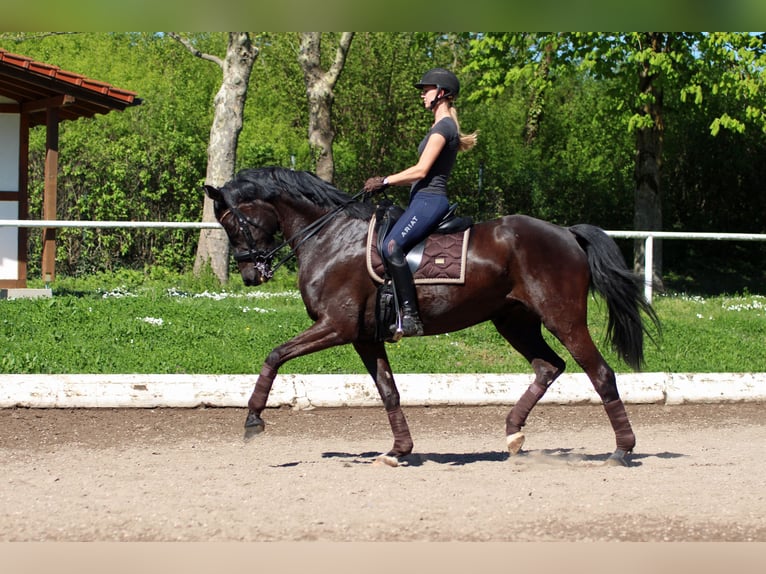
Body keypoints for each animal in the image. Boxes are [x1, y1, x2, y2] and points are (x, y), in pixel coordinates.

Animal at [205, 166, 660, 467]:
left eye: (231, 223)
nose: (250, 275)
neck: (331, 238)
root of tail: (566, 232)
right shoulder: (364, 337)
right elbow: (388, 391)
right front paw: (398, 451)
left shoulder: (336, 326)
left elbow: (275, 355)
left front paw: (253, 419)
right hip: (513, 320)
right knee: (549, 367)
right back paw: (513, 434)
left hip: (563, 318)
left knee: (600, 374)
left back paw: (623, 449)